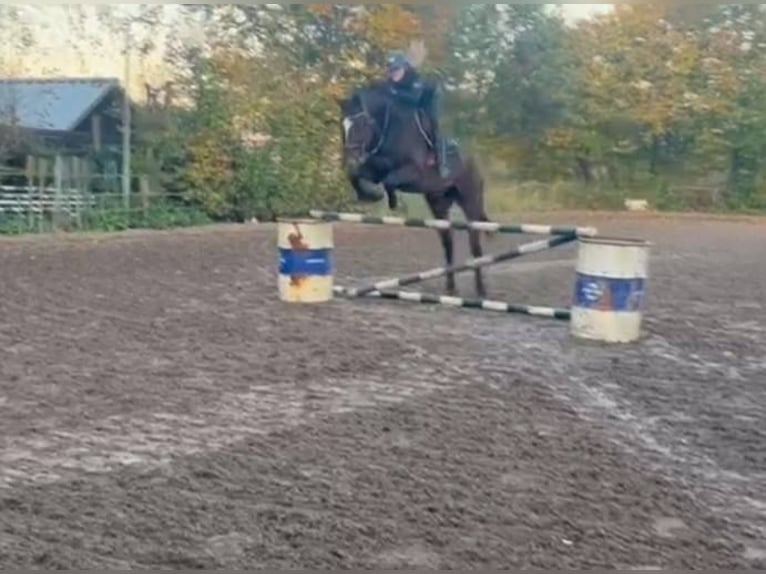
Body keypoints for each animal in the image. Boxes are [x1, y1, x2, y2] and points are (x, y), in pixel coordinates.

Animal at [336, 82, 492, 300]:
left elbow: (389, 180)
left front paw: (391, 200)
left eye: (362, 124)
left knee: (475, 244)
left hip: (470, 201)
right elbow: (358, 174)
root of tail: (475, 163)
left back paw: (481, 290)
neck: (389, 129)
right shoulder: (374, 166)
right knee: (448, 242)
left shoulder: (413, 172)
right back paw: (450, 288)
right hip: (438, 203)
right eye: (343, 125)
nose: (350, 158)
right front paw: (370, 195)